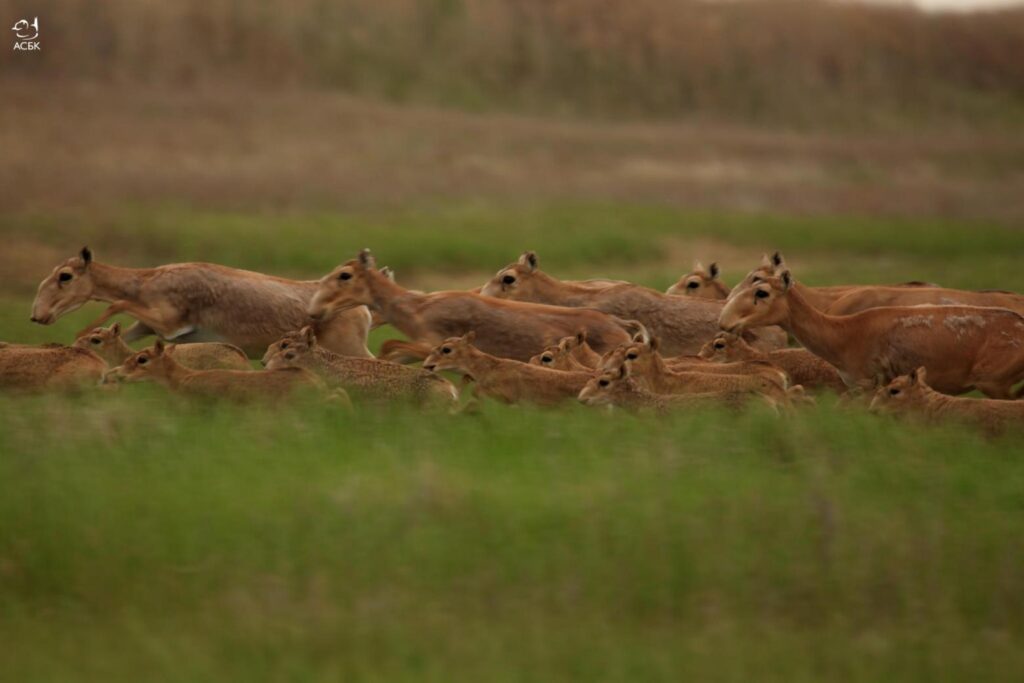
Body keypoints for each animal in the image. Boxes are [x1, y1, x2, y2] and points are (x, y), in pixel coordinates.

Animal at [29, 249, 376, 358]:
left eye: (64, 276)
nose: (36, 315)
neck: (148, 282)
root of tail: (364, 309)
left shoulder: (171, 324)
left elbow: (117, 304)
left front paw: (78, 335)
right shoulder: (148, 327)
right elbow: (123, 331)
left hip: (350, 348)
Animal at [307, 248, 634, 360]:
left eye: (344, 274)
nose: (314, 310)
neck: (418, 308)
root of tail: (621, 326)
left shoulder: (431, 343)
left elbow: (389, 346)